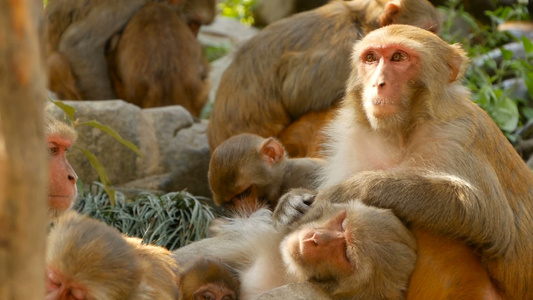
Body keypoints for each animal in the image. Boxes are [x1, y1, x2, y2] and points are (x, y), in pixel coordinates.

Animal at [274, 24, 528, 298]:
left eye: (398, 57)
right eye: (371, 58)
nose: (378, 83)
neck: (401, 135)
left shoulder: (460, 133)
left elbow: (491, 219)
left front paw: (351, 189)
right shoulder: (353, 139)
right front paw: (290, 203)